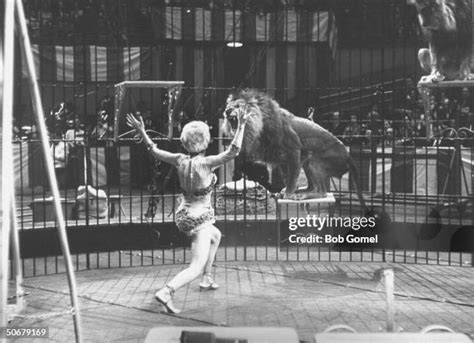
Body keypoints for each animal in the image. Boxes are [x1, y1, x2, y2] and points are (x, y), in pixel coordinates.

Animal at [220, 88, 368, 212]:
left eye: (237, 106)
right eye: (228, 106)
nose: (226, 110)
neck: (259, 128)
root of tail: (349, 157)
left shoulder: (294, 151)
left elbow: (292, 176)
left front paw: (288, 194)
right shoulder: (280, 157)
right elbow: (287, 176)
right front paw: (285, 190)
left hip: (315, 160)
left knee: (322, 191)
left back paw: (302, 196)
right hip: (308, 161)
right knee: (312, 186)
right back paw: (303, 191)